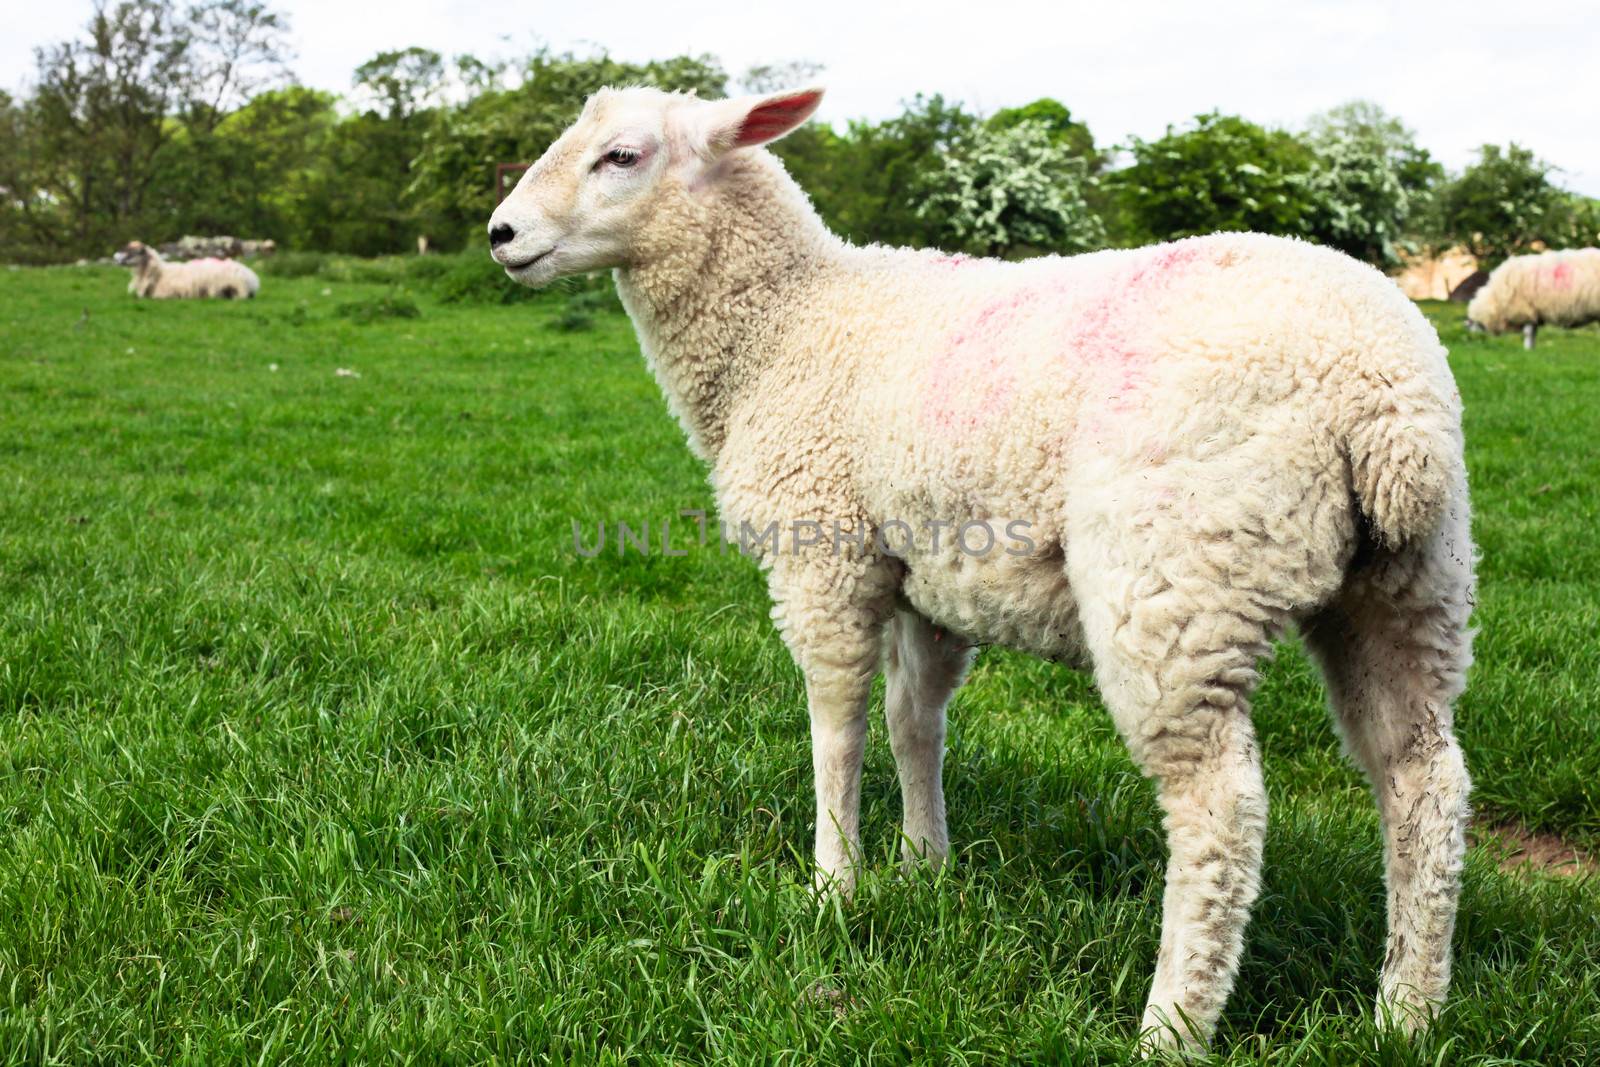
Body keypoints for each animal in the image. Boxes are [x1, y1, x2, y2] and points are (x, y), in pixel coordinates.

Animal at [486, 87, 1472, 1055]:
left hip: (1179, 582)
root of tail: (1386, 402)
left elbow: (837, 724)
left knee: (1220, 812)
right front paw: (926, 864)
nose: (500, 233)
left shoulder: (826, 554)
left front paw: (835, 882)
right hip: (1409, 584)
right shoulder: (928, 572)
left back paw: (1172, 1024)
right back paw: (1407, 1008)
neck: (786, 327)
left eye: (622, 155)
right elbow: (912, 720)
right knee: (1422, 778)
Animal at [1465, 247, 1600, 348]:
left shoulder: (1525, 309)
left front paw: (1527, 349)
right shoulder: (1534, 312)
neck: (1497, 298)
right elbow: (1533, 332)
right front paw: (1532, 350)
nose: (1471, 338)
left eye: (1473, 322)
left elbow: (1527, 333)